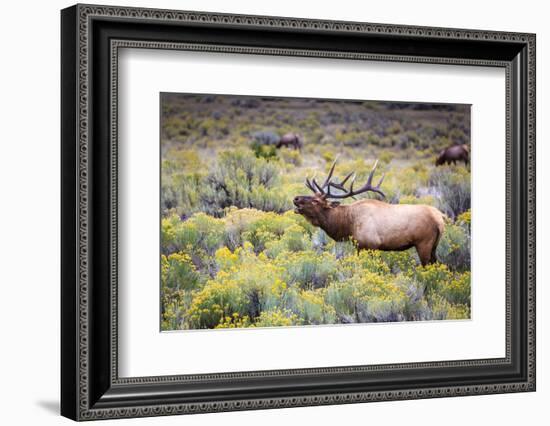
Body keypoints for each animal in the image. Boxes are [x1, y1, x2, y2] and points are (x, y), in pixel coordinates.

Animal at [296, 161, 446, 264]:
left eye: (316, 201)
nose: (296, 198)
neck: (348, 225)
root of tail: (440, 219)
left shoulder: (370, 245)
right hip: (434, 246)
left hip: (424, 243)